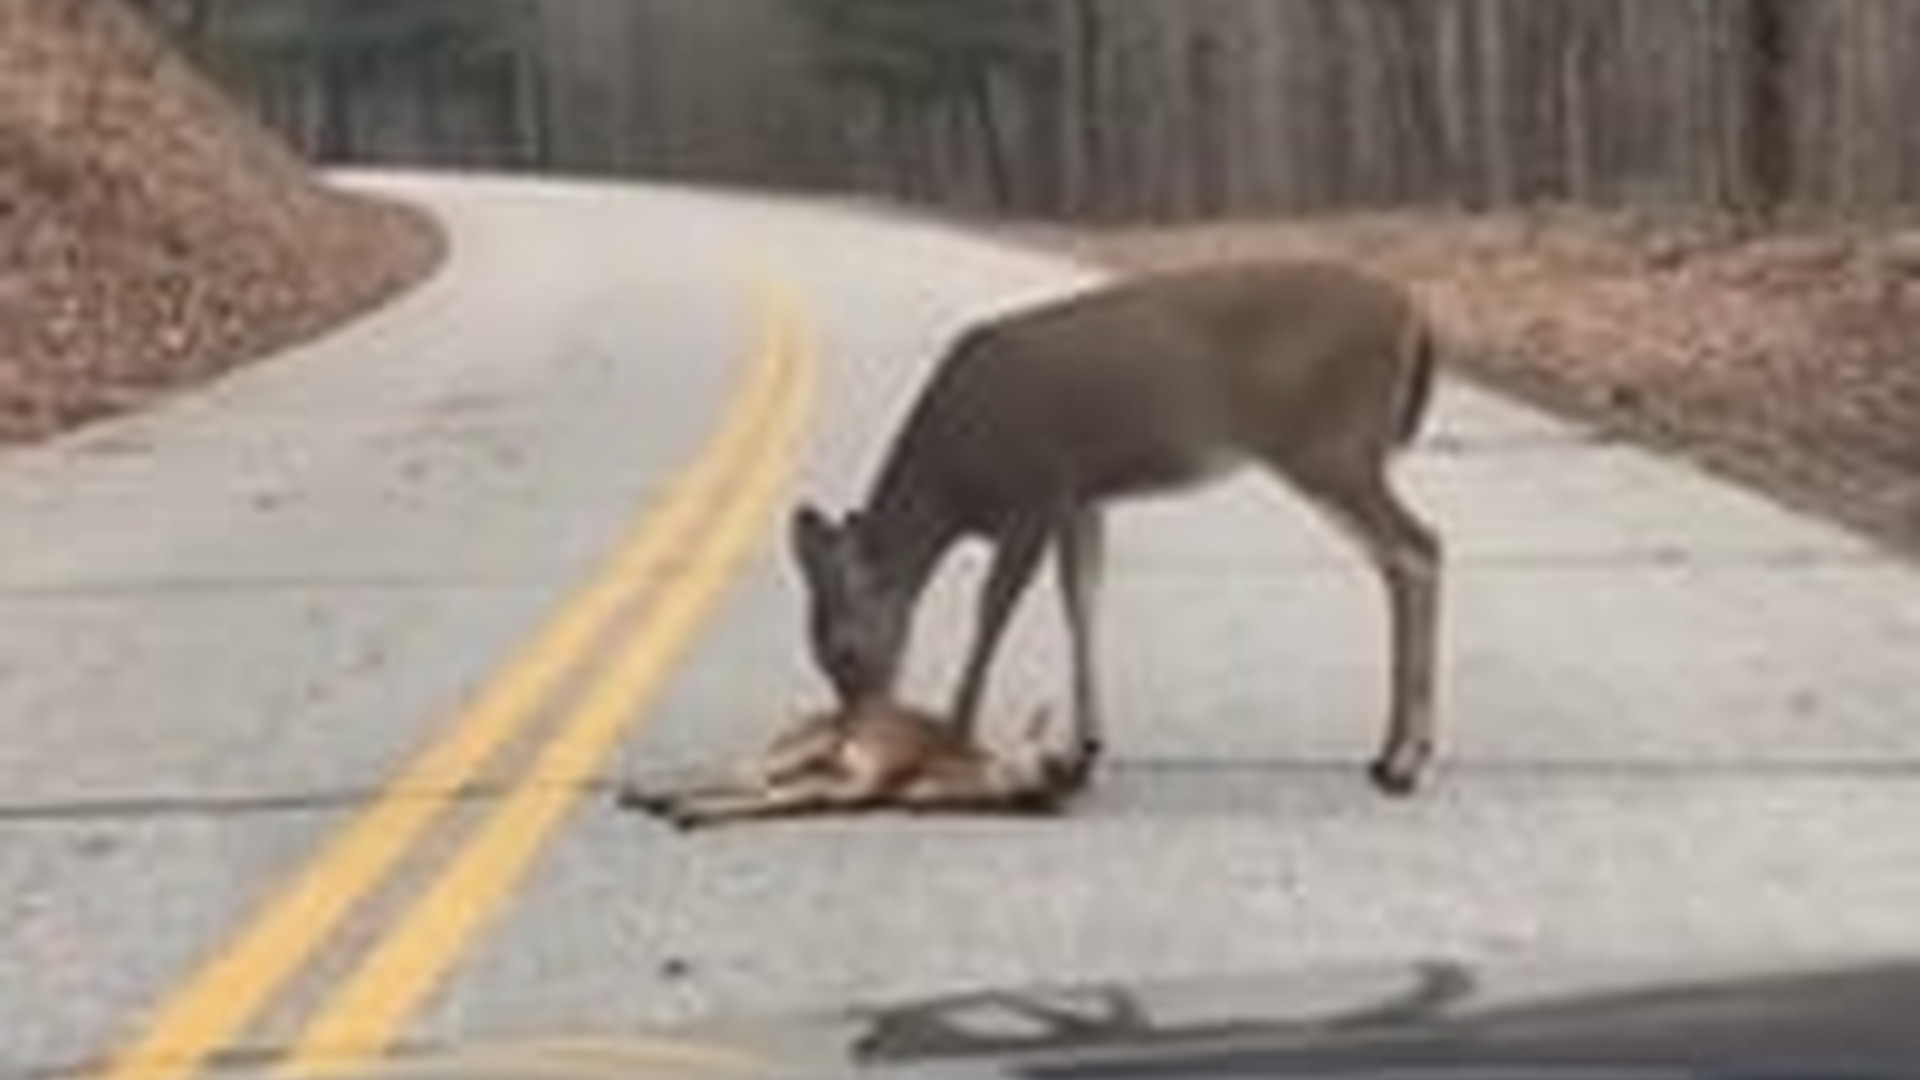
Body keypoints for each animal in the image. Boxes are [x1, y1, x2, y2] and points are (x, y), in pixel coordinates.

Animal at [616, 697, 1085, 829]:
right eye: (1045, 757)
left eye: (1063, 774)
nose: (1035, 788)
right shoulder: (867, 772)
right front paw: (683, 810)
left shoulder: (857, 783)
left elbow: (785, 799)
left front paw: (685, 811)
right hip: (810, 741)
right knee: (749, 771)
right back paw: (649, 795)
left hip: (808, 755)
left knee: (753, 778)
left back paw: (659, 800)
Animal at [790, 259, 1443, 797]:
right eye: (815, 651)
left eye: (843, 647)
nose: (853, 730)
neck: (955, 488)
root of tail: (1415, 313)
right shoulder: (1081, 499)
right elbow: (1083, 601)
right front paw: (1082, 753)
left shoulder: (1033, 494)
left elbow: (993, 611)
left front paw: (954, 736)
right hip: (1339, 453)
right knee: (1397, 561)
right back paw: (1388, 755)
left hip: (1330, 446)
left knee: (1421, 547)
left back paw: (1406, 764)